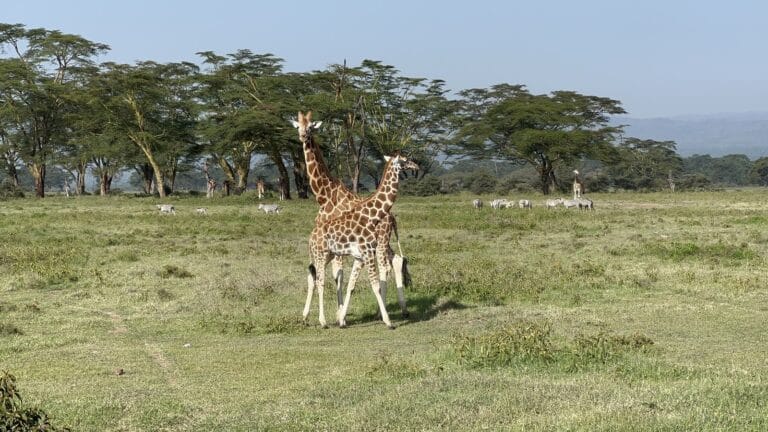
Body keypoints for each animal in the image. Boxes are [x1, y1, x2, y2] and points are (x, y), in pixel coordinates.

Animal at [291, 111, 409, 325]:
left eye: (311, 127)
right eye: (298, 126)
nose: (303, 136)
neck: (325, 196)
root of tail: (392, 218)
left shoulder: (337, 246)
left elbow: (337, 275)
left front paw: (340, 316)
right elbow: (316, 275)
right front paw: (306, 315)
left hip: (380, 241)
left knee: (385, 266)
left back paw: (383, 312)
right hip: (383, 242)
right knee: (396, 260)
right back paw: (401, 310)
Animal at [307, 154, 418, 329]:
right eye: (405, 160)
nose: (416, 167)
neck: (372, 216)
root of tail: (311, 236)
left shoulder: (360, 256)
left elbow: (351, 284)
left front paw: (342, 320)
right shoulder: (367, 252)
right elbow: (375, 285)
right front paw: (388, 322)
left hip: (327, 255)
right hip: (321, 254)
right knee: (320, 281)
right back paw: (322, 321)